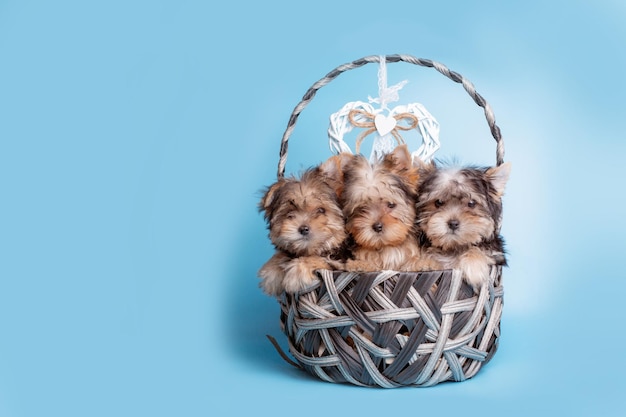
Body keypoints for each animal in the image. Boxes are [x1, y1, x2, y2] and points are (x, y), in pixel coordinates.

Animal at [258, 156, 346, 296]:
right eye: (289, 214)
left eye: (321, 210)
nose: (303, 229)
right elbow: (281, 254)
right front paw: (271, 273)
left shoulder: (342, 264)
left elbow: (322, 260)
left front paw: (298, 272)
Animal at [412, 159, 510, 290]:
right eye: (439, 202)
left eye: (472, 203)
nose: (453, 223)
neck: (454, 247)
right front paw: (425, 263)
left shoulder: (496, 254)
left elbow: (479, 250)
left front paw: (474, 267)